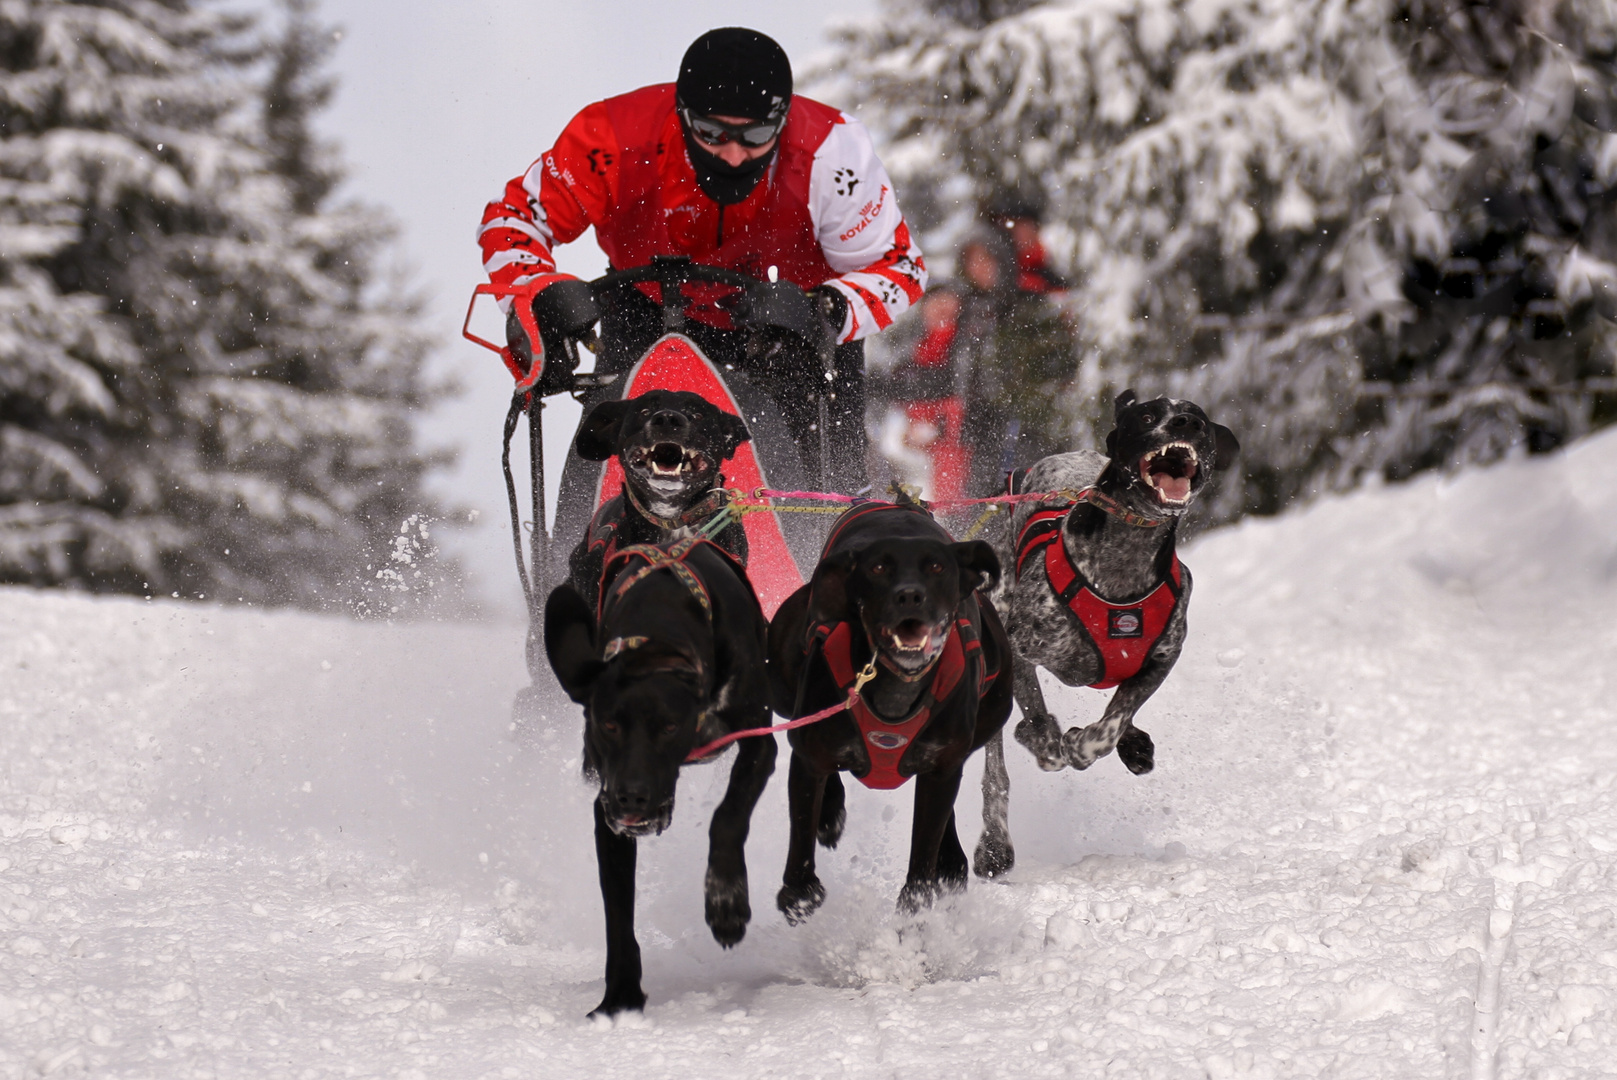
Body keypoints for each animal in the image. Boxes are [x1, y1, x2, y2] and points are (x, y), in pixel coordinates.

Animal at [546, 540, 772, 1021]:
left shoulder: (760, 743)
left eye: (668, 727)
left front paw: (726, 900)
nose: (632, 798)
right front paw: (620, 998)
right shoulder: (606, 813)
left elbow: (728, 816)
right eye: (608, 725)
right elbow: (617, 912)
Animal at [766, 501, 1009, 918]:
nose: (909, 595)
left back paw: (950, 861)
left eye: (937, 567)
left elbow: (925, 846)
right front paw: (800, 892)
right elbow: (804, 816)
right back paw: (830, 815)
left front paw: (917, 907)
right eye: (877, 568)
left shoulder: (942, 765)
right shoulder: (810, 754)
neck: (896, 684)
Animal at [970, 388, 1235, 879]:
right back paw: (994, 842)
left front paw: (1089, 741)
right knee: (996, 771)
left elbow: (1111, 723)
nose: (1186, 423)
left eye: (1203, 422)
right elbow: (1041, 731)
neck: (1122, 562)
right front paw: (1047, 739)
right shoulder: (1019, 648)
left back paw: (1133, 746)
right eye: (1148, 415)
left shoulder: (1161, 658)